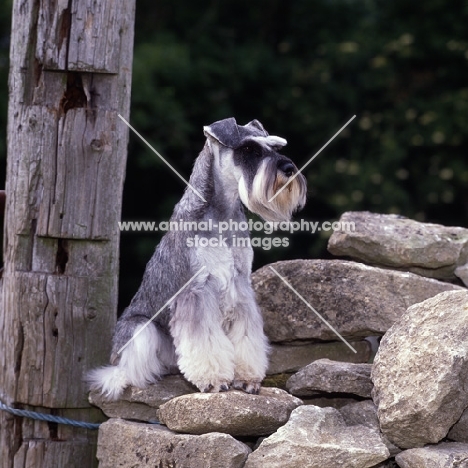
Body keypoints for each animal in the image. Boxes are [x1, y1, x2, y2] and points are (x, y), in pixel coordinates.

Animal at [88, 117, 308, 398]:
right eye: (248, 149)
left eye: (275, 147)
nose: (289, 168)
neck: (222, 213)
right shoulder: (197, 290)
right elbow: (204, 341)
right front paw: (213, 380)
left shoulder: (240, 286)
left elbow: (247, 336)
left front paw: (247, 378)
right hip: (140, 330)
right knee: (125, 369)